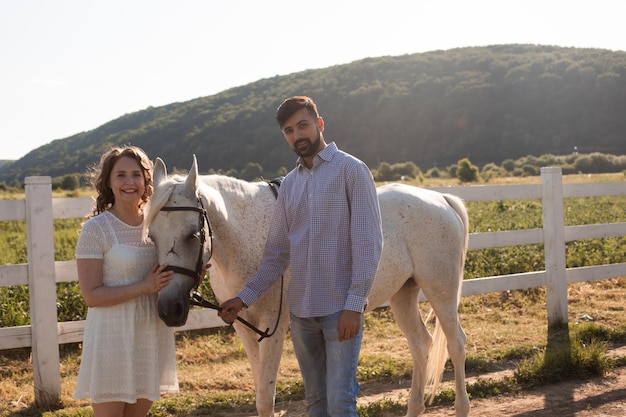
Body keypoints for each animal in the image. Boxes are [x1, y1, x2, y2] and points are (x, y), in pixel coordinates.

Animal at [145, 156, 468, 416]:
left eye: (192, 233)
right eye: (151, 236)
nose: (169, 308)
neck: (246, 238)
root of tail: (440, 199)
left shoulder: (272, 327)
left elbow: (265, 398)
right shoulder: (243, 326)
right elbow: (259, 389)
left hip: (441, 291)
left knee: (456, 343)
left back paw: (461, 406)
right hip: (403, 294)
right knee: (421, 344)